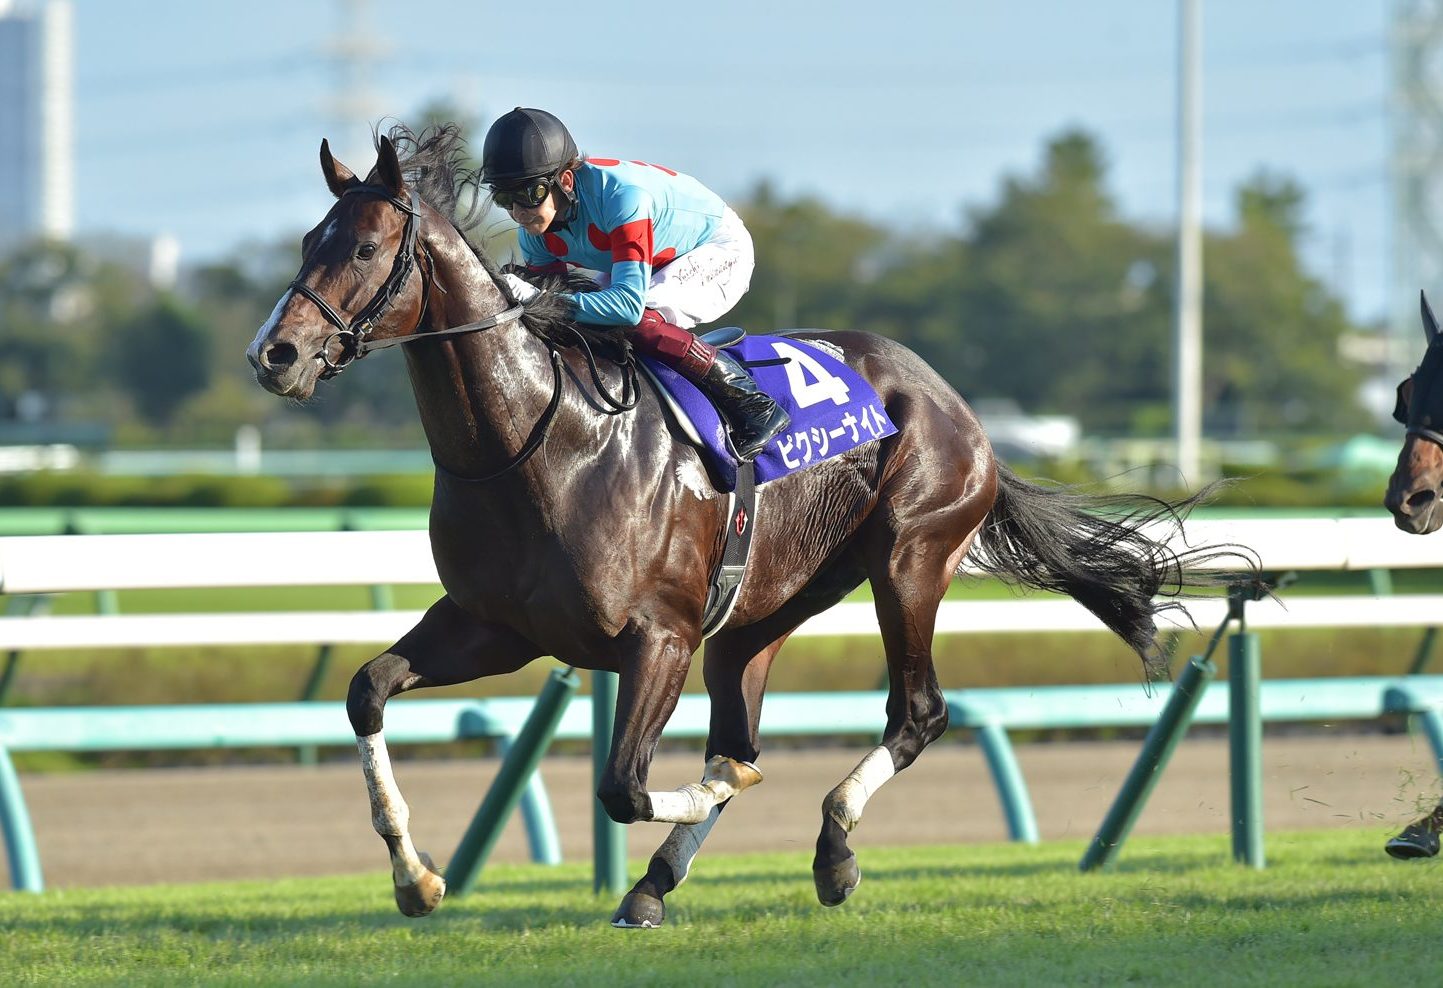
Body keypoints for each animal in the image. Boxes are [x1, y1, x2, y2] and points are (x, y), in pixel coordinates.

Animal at [246, 124, 1241, 927]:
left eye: (365, 246)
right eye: (306, 241)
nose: (275, 355)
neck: (538, 442)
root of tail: (955, 404)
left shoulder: (658, 637)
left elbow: (624, 785)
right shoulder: (495, 627)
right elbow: (367, 691)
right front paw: (416, 877)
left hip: (910, 557)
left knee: (914, 712)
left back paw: (832, 853)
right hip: (758, 611)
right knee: (742, 731)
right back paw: (652, 887)